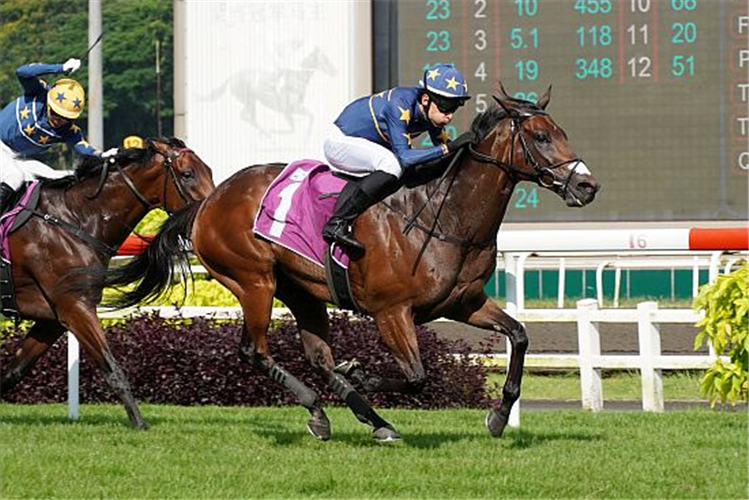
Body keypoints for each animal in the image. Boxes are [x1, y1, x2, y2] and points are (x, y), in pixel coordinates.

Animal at [0, 137, 216, 426]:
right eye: (188, 174)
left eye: (209, 171)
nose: (211, 220)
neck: (77, 219)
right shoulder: (76, 308)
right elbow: (112, 368)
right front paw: (139, 423)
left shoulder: (52, 318)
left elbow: (15, 370)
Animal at [105, 90, 600, 442]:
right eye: (540, 137)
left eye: (562, 131)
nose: (587, 185)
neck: (444, 217)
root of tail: (208, 201)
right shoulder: (391, 312)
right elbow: (416, 377)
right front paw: (360, 370)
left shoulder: (465, 302)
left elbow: (519, 335)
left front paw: (499, 416)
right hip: (253, 281)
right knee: (255, 351)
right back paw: (328, 408)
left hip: (301, 290)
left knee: (318, 355)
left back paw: (366, 418)